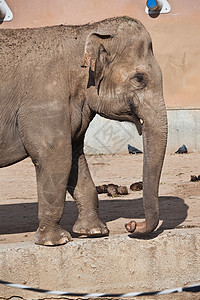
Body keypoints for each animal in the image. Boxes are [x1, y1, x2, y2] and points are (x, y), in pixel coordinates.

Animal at [0, 16, 167, 245]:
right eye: (140, 78)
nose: (131, 225)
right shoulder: (44, 103)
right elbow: (56, 156)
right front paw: (56, 241)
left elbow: (75, 158)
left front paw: (94, 231)